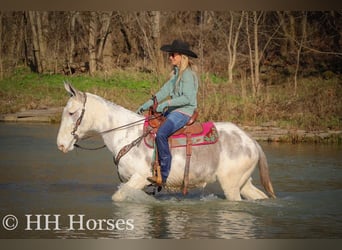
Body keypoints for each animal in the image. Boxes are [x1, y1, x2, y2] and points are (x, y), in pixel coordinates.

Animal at [56, 83, 276, 202]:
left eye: (72, 113)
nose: (60, 145)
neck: (126, 135)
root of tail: (251, 141)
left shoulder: (140, 177)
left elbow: (119, 197)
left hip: (231, 185)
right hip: (243, 183)